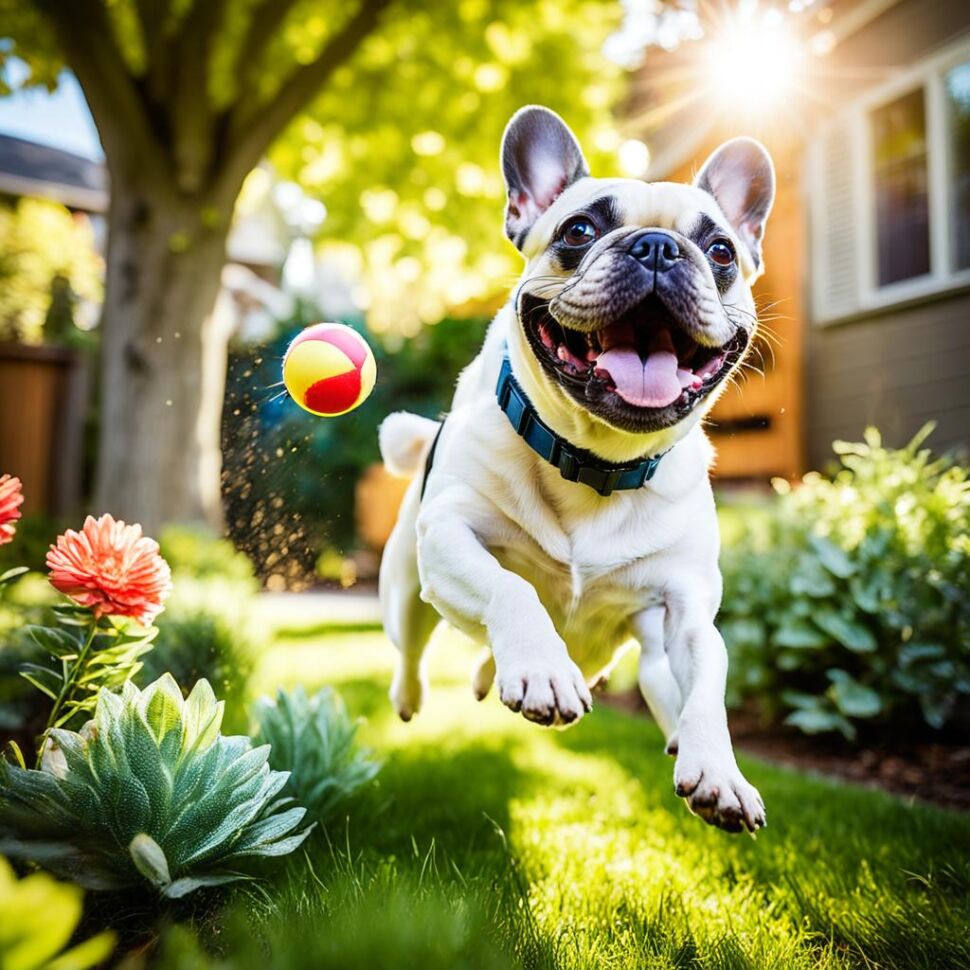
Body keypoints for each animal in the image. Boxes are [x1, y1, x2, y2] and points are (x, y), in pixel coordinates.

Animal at [378, 106, 772, 832]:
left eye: (722, 251)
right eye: (579, 230)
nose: (656, 246)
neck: (598, 462)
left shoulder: (688, 610)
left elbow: (709, 682)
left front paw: (721, 772)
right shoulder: (451, 537)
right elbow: (513, 588)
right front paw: (540, 668)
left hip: (647, 654)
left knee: (662, 689)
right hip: (407, 586)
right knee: (412, 648)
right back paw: (419, 693)